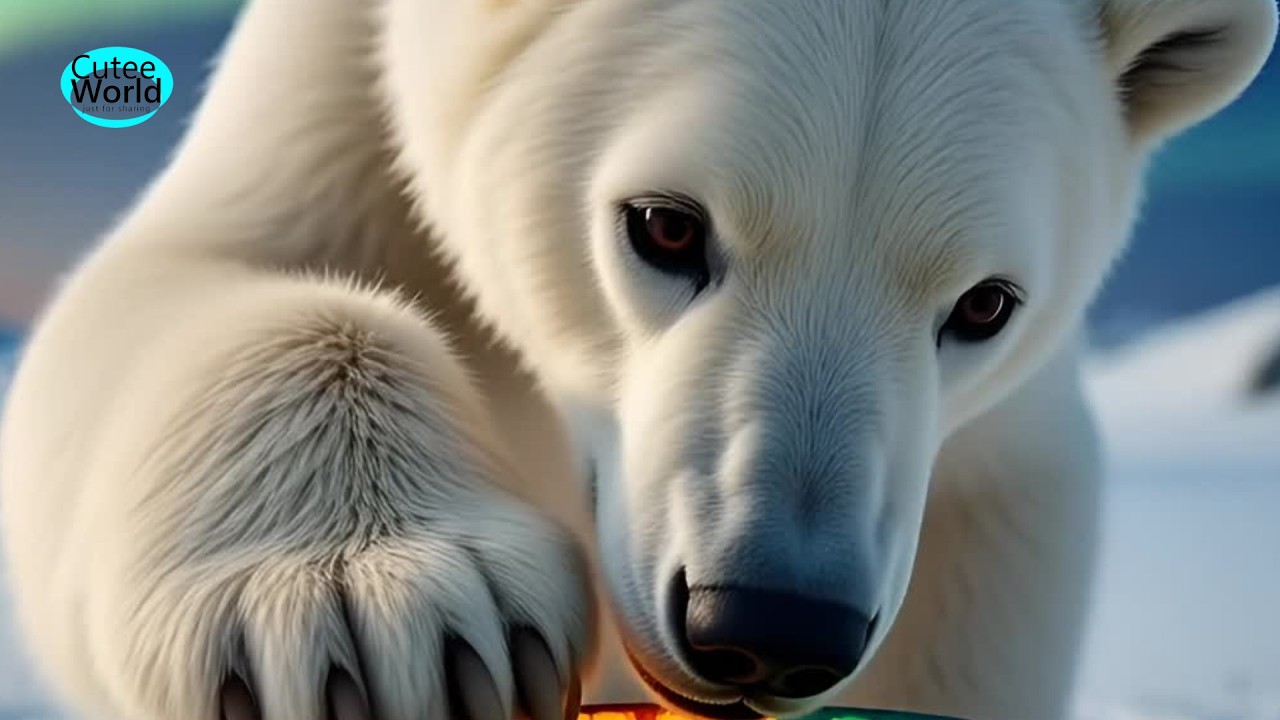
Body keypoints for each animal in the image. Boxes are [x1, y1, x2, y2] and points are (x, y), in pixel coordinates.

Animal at [1, 1, 1274, 719]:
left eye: (984, 303)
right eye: (663, 225)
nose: (770, 623)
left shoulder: (984, 478)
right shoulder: (340, 72)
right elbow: (193, 273)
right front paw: (391, 612)